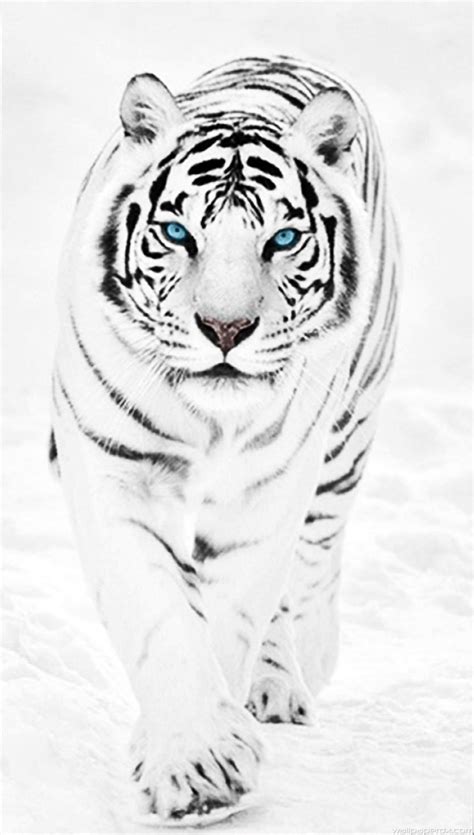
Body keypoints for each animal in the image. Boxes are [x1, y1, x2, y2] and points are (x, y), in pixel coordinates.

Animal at [51, 55, 399, 823]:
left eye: (283, 240)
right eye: (179, 235)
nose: (226, 330)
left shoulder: (266, 492)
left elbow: (235, 608)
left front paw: (200, 759)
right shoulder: (113, 467)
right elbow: (159, 610)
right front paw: (192, 764)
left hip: (346, 435)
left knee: (313, 560)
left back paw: (296, 671)